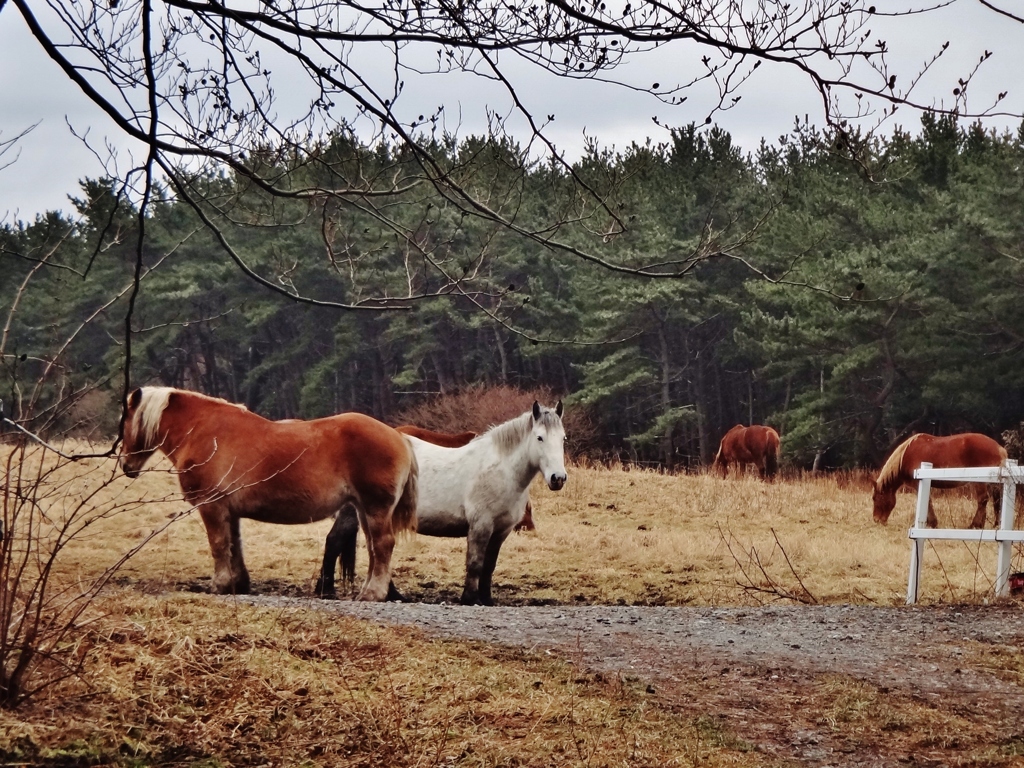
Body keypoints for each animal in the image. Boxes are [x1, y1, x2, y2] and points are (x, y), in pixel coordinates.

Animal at [114, 385, 413, 602]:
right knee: (374, 548)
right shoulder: (229, 511)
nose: (126, 466)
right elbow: (234, 546)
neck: (202, 430)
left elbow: (218, 544)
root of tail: (398, 436)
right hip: (363, 508)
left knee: (383, 545)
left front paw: (220, 584)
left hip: (375, 507)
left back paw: (373, 593)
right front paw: (238, 583)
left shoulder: (212, 506)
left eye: (124, 421)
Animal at [317, 403, 569, 606]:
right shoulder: (480, 525)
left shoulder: (501, 531)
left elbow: (489, 566)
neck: (500, 469)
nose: (558, 478)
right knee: (338, 542)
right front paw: (470, 598)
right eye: (539, 438)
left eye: (563, 438)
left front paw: (486, 599)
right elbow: (475, 563)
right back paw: (329, 590)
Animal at [872, 434, 1007, 528]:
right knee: (996, 501)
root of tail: (1000, 448)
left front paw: (931, 523)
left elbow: (927, 501)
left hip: (980, 482)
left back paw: (975, 525)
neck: (905, 456)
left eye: (875, 498)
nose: (876, 520)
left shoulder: (918, 484)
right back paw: (994, 524)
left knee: (983, 500)